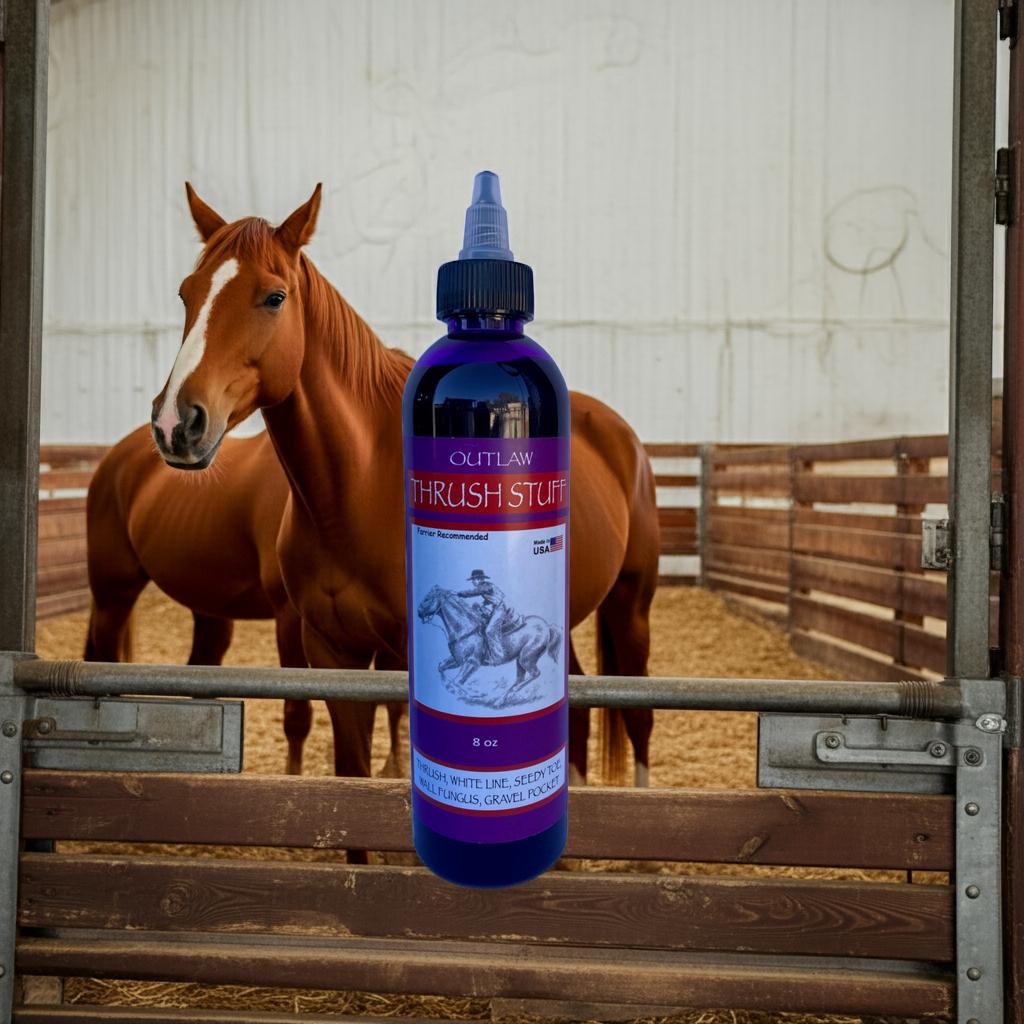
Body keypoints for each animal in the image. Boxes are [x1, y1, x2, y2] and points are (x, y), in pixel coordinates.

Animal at [417, 585, 563, 704]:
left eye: (427, 598)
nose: (418, 612)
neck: (465, 628)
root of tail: (547, 626)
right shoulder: (457, 660)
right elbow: (441, 667)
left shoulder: (472, 663)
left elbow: (457, 682)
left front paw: (476, 695)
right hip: (519, 660)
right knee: (520, 678)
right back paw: (500, 700)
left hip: (526, 658)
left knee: (535, 674)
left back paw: (511, 693)